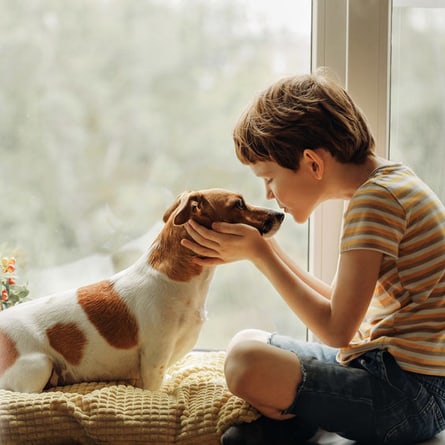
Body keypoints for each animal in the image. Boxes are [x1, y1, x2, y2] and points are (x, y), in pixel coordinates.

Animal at [0, 188, 284, 392]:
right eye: (239, 204)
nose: (281, 214)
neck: (179, 281)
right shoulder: (154, 360)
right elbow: (154, 389)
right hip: (39, 365)